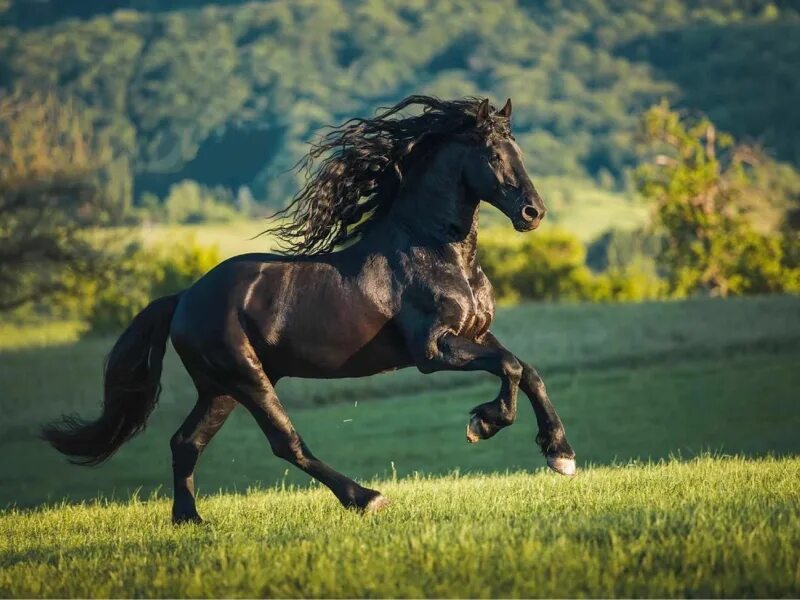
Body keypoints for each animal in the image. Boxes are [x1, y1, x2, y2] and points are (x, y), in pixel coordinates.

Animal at [42, 96, 576, 524]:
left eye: (520, 153)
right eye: (493, 155)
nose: (533, 213)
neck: (436, 250)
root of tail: (184, 298)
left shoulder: (477, 334)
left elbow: (527, 370)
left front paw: (560, 453)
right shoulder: (433, 350)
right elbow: (509, 368)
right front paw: (483, 424)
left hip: (220, 387)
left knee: (185, 442)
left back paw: (189, 519)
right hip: (246, 378)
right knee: (286, 443)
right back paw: (366, 498)